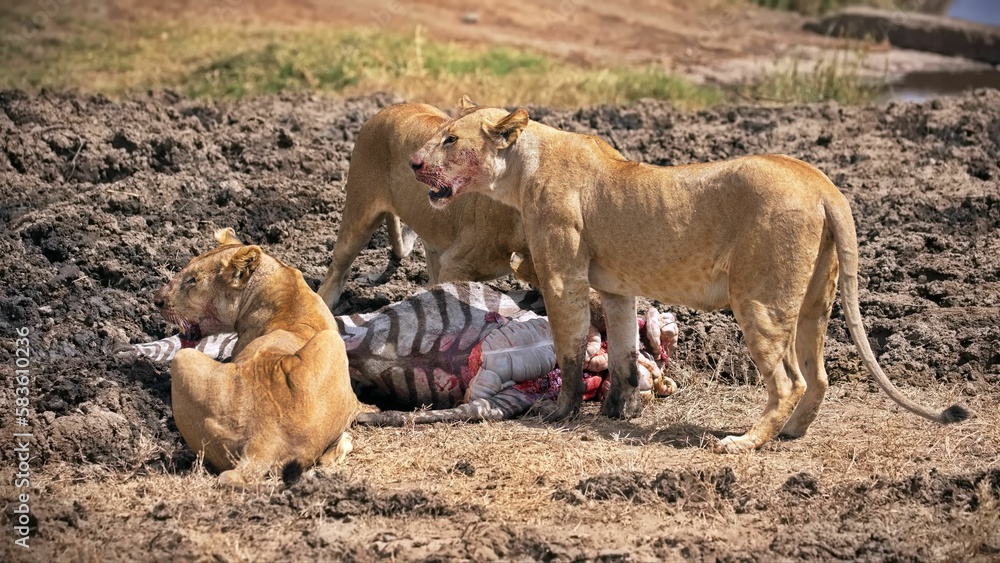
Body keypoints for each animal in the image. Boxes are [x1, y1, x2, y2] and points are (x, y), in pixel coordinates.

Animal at [408, 100, 969, 452]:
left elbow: (570, 350)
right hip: (815, 301)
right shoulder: (615, 287)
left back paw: (744, 442)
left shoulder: (564, 276)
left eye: (450, 139)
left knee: (787, 380)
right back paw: (791, 434)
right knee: (819, 375)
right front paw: (619, 410)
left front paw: (561, 412)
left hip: (760, 300)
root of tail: (822, 183)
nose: (413, 163)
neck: (523, 166)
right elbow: (622, 353)